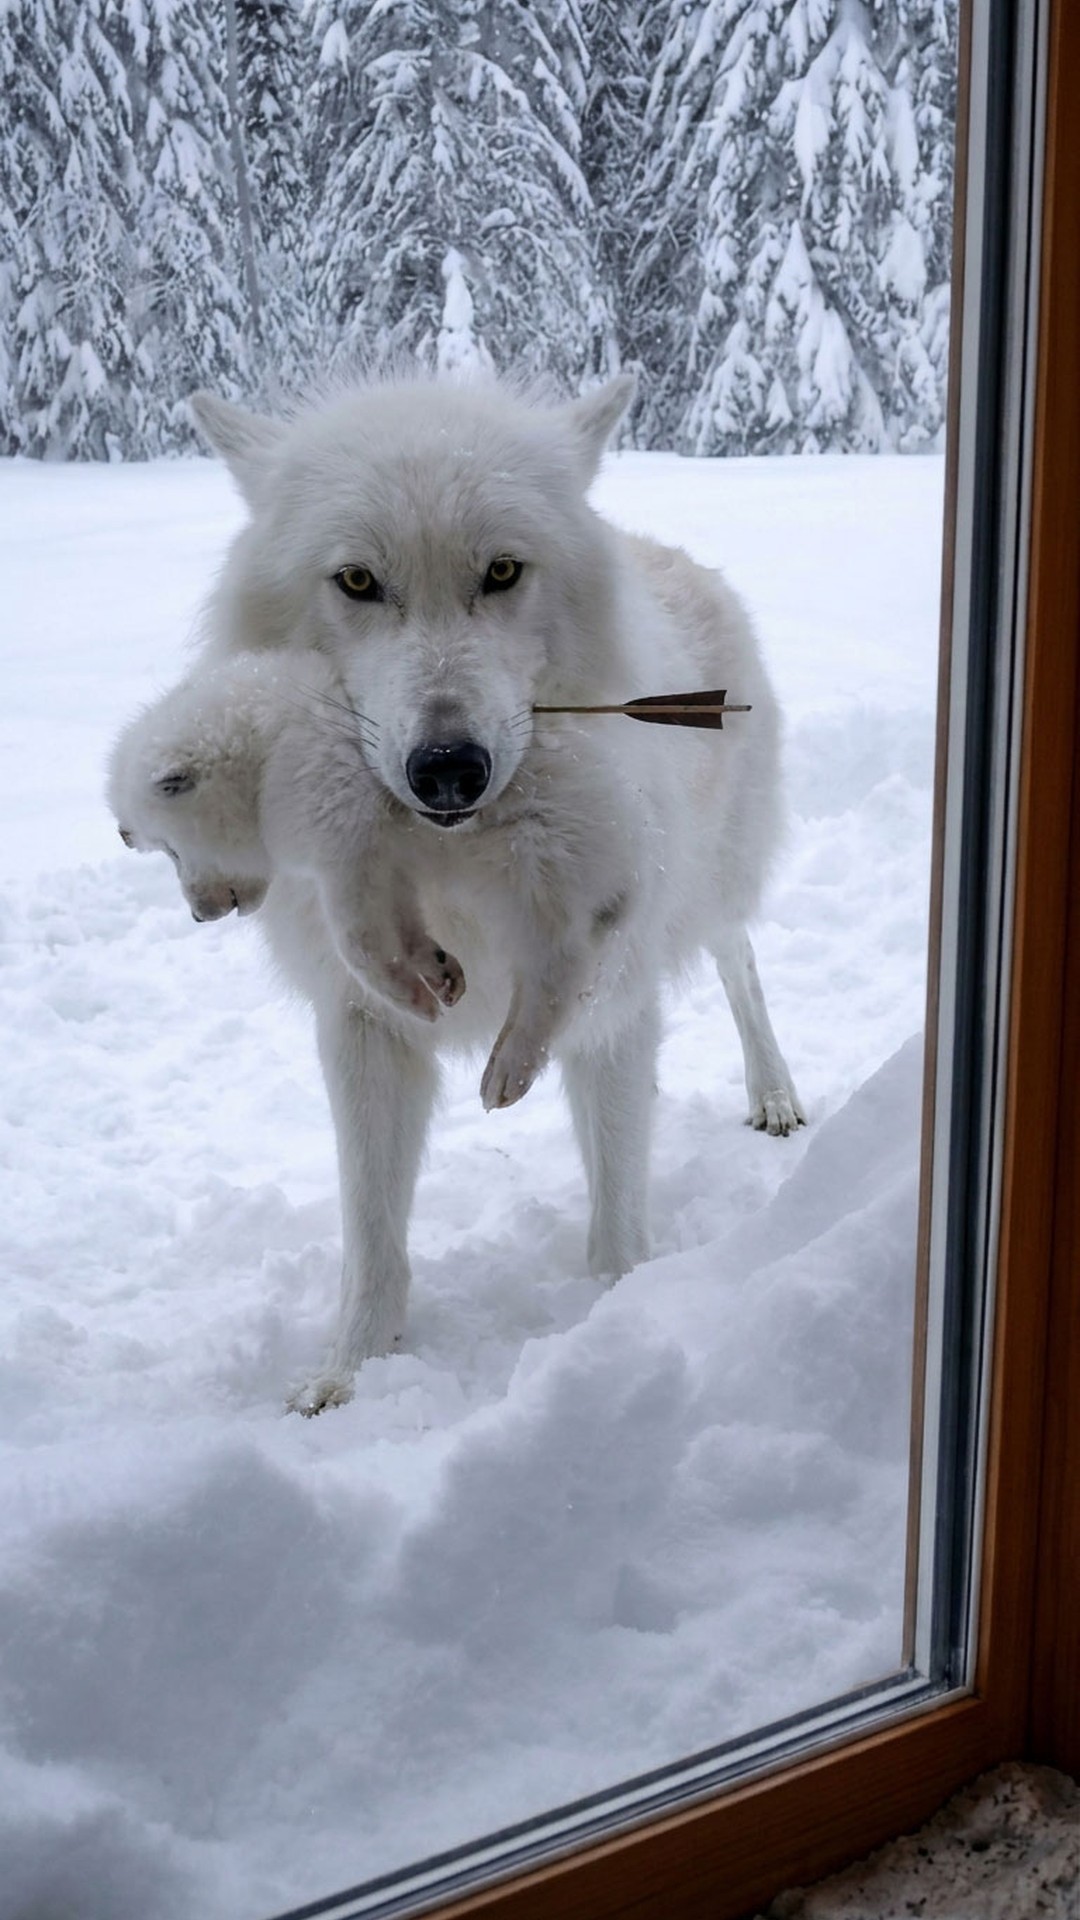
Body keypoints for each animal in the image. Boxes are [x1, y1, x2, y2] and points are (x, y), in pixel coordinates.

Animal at [106, 650, 465, 1021]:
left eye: (171, 850)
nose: (198, 917)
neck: (267, 755)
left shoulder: (346, 847)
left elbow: (357, 943)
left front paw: (408, 997)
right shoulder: (382, 855)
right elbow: (404, 925)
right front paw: (435, 969)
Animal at [187, 374, 805, 1413]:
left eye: (504, 572)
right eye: (358, 582)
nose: (447, 770)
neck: (455, 864)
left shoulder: (610, 1005)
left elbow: (616, 1220)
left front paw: (620, 1330)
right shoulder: (364, 1026)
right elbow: (373, 1234)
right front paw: (350, 1373)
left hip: (710, 887)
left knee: (744, 963)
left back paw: (776, 1096)